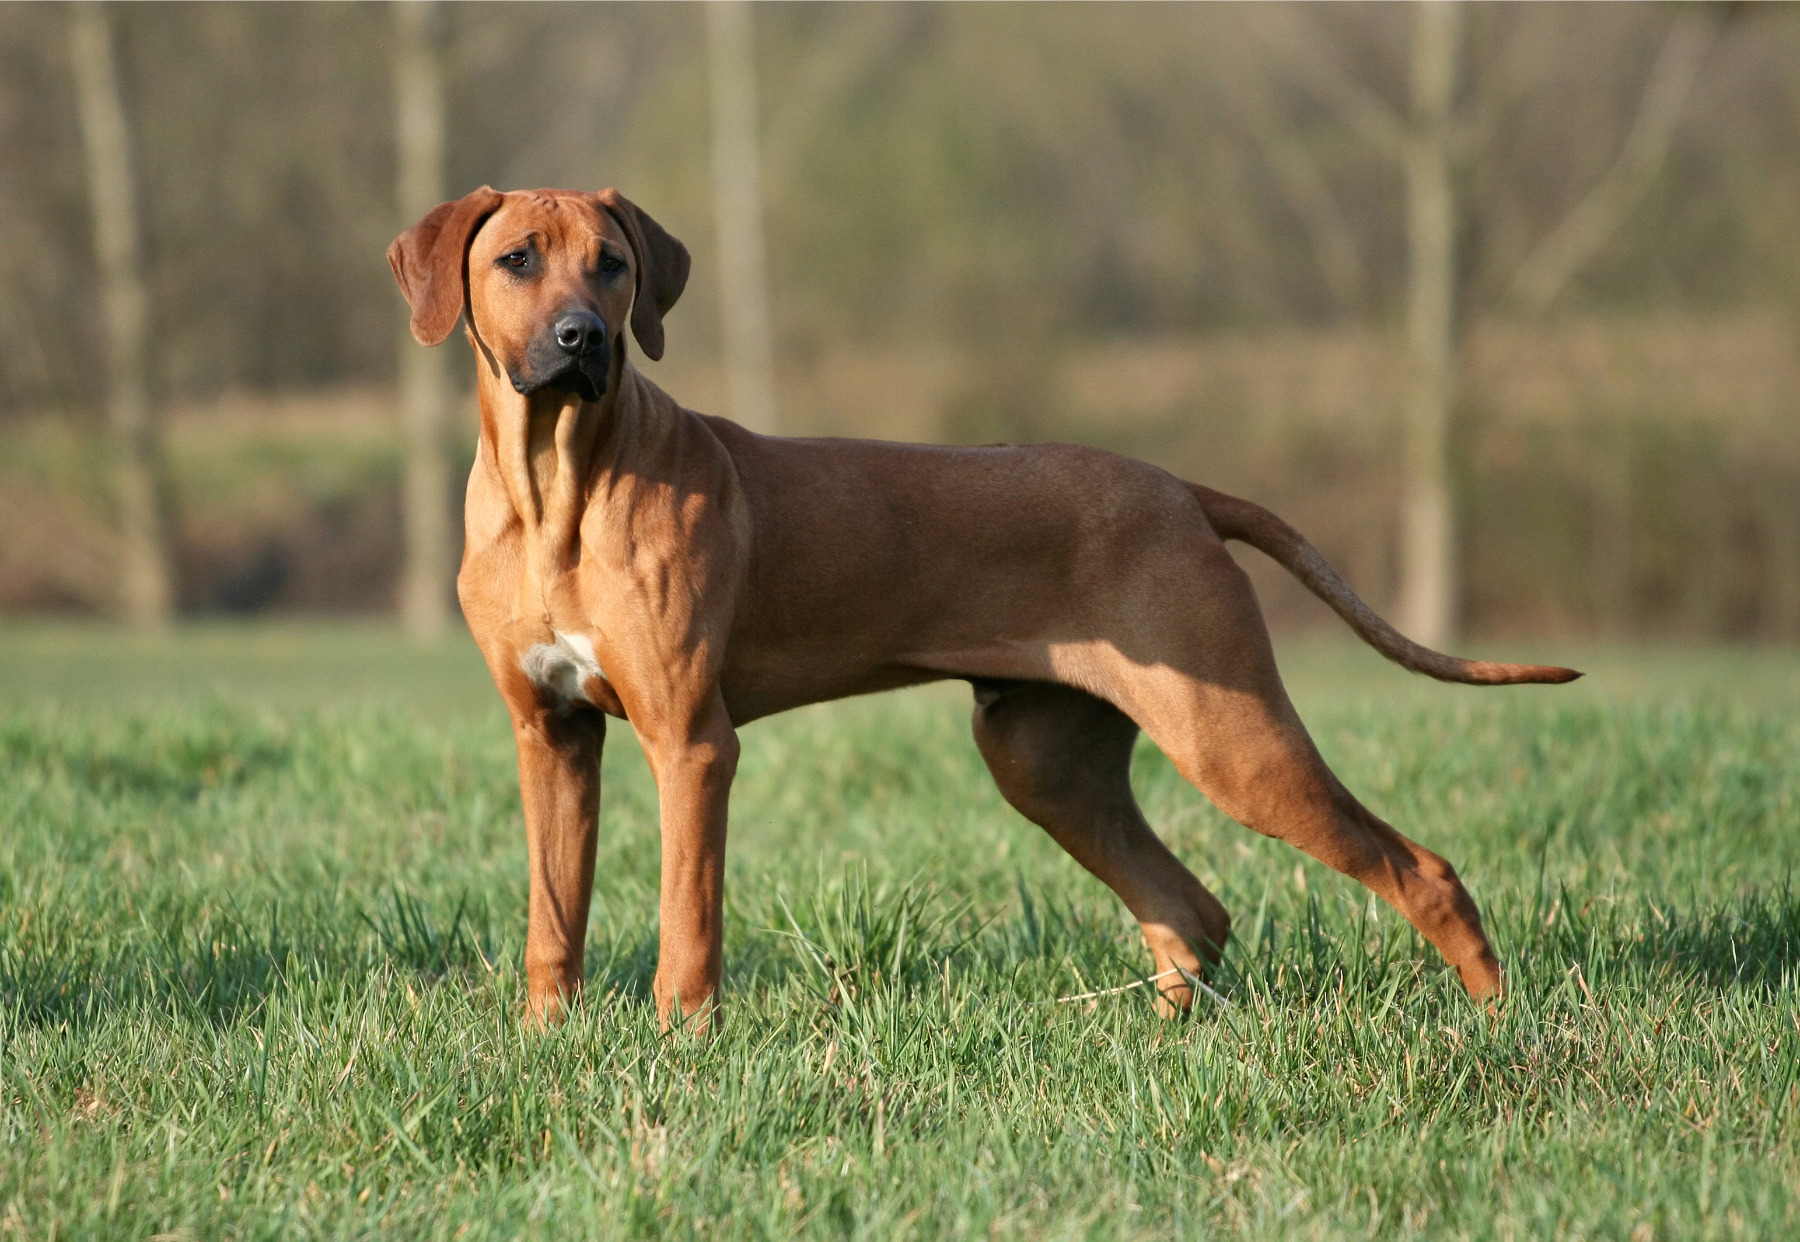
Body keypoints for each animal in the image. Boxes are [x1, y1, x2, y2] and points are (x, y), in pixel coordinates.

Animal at [387, 186, 1569, 1022]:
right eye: (516, 259)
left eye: (615, 265)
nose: (583, 337)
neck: (556, 486)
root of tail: (1183, 489)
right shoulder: (551, 733)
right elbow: (553, 915)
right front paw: (547, 1040)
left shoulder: (691, 740)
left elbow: (688, 918)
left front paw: (684, 1046)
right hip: (1045, 759)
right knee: (1191, 907)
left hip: (1230, 739)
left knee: (1420, 871)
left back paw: (1499, 1026)